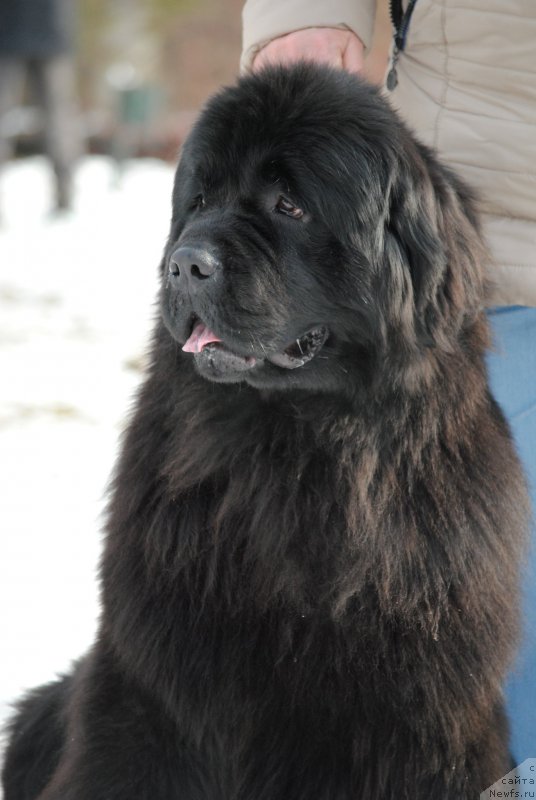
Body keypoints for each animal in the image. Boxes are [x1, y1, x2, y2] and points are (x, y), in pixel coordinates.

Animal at [1, 64, 528, 800]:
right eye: (198, 199)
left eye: (289, 206)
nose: (185, 264)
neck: (293, 457)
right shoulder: (153, 689)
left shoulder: (420, 722)